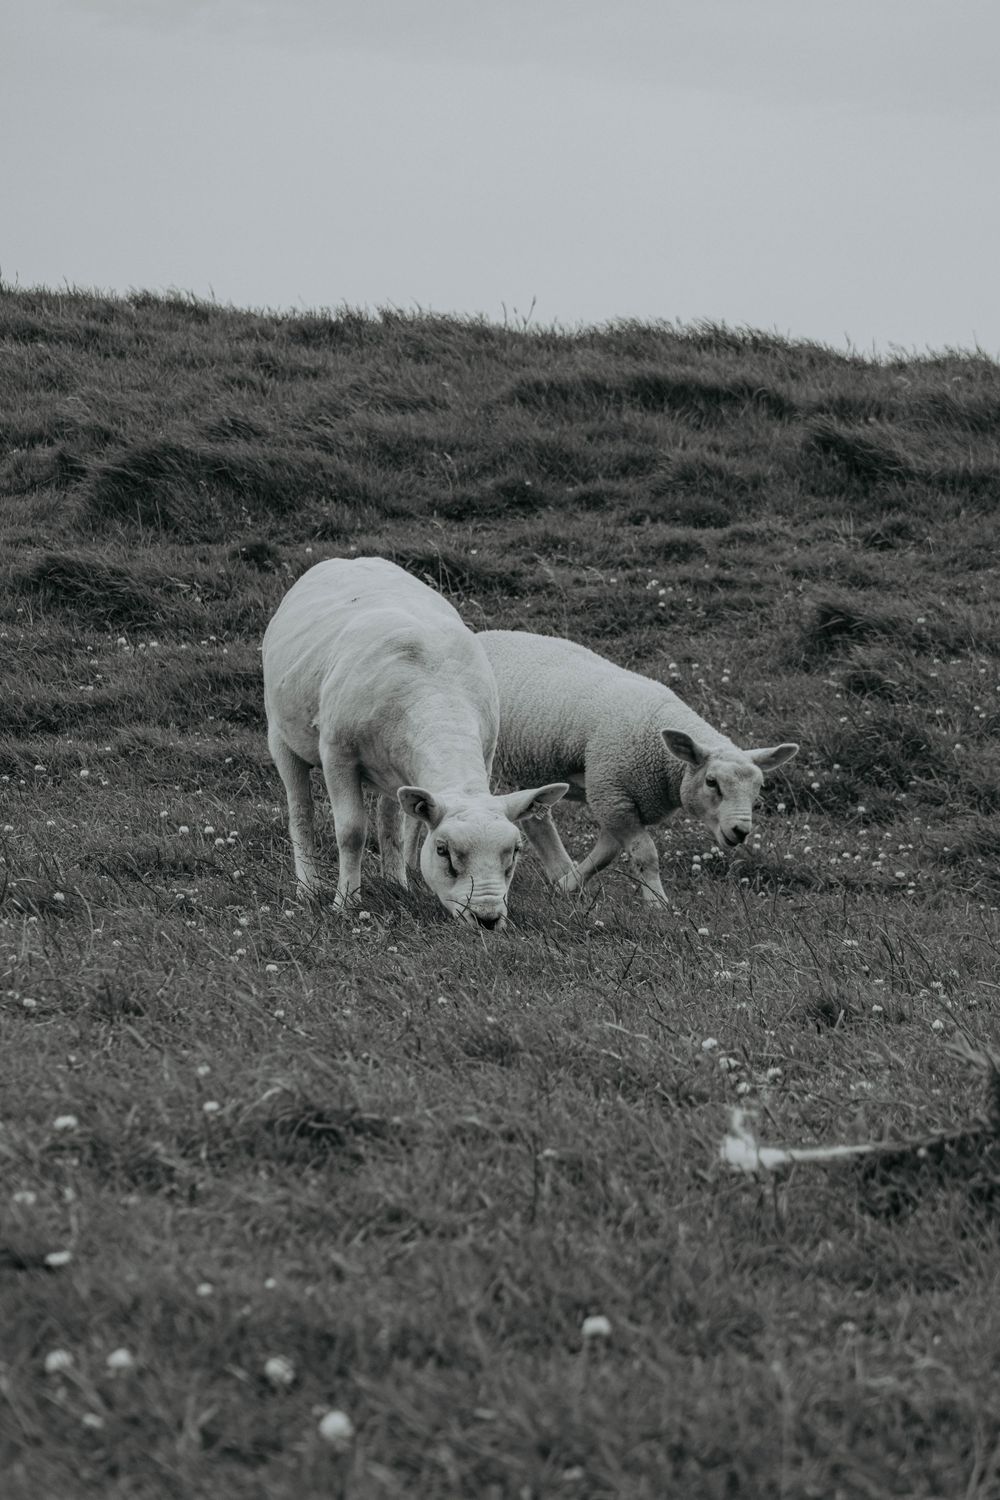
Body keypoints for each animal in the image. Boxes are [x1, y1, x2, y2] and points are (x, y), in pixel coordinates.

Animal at [261, 558, 568, 929]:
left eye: (515, 853)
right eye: (443, 852)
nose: (487, 919)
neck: (439, 702)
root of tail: (350, 560)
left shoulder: (485, 753)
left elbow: (396, 828)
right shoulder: (338, 755)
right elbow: (351, 832)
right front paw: (345, 903)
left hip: (390, 767)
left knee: (389, 818)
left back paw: (396, 882)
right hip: (281, 736)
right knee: (300, 810)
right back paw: (308, 887)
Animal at [476, 629, 799, 907]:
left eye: (759, 788)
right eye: (711, 782)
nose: (740, 831)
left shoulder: (619, 799)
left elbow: (606, 853)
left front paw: (567, 886)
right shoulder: (613, 794)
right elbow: (645, 854)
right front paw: (657, 903)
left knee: (537, 820)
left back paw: (559, 869)